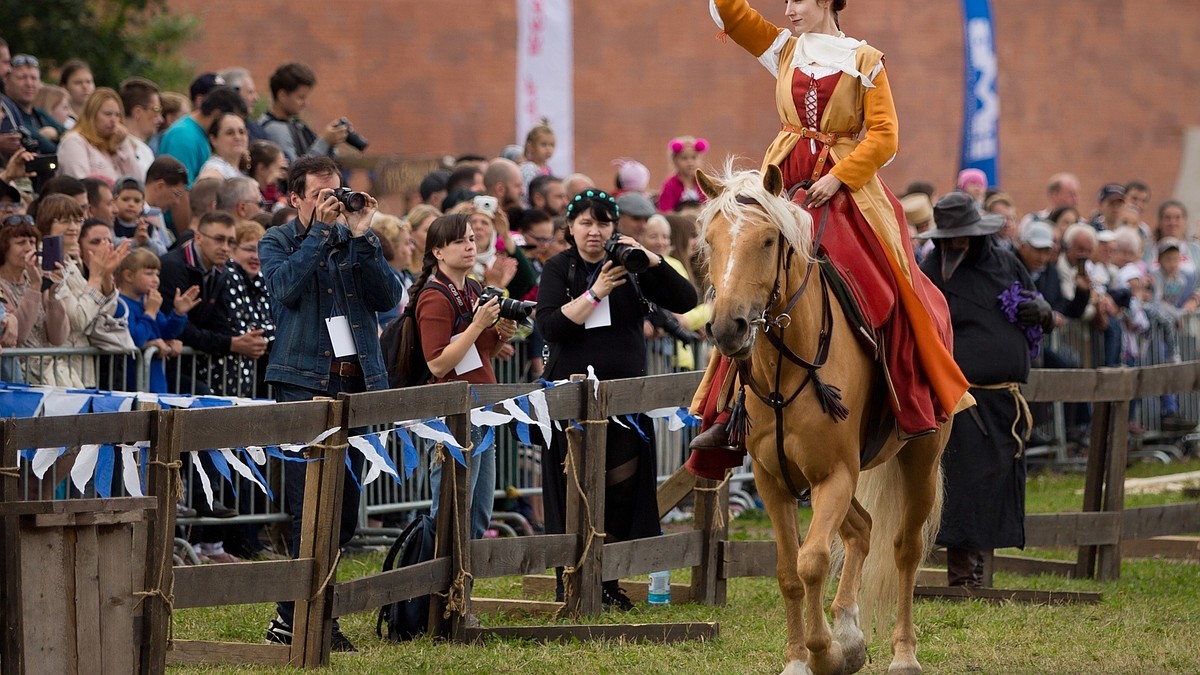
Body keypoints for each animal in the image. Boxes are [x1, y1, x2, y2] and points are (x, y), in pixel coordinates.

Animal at [691, 163, 950, 672]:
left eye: (767, 240)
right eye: (711, 240)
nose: (728, 327)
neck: (785, 368)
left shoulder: (834, 474)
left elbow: (811, 562)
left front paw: (825, 652)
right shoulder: (775, 480)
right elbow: (788, 571)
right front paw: (805, 657)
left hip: (920, 461)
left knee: (905, 549)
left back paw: (903, 654)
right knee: (863, 529)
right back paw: (849, 630)